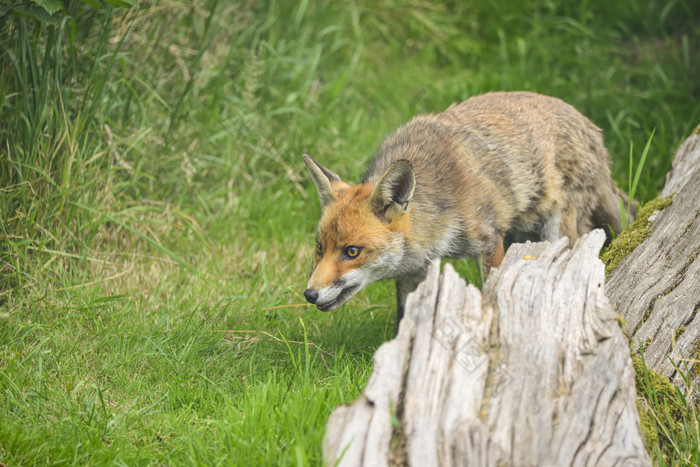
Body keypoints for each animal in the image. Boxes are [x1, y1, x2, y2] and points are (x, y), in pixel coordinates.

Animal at [300, 90, 636, 326]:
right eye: (319, 248)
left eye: (352, 251)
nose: (309, 294)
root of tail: (592, 128)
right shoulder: (413, 272)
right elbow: (406, 318)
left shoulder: (489, 241)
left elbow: (491, 291)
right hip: (522, 236)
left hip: (557, 231)